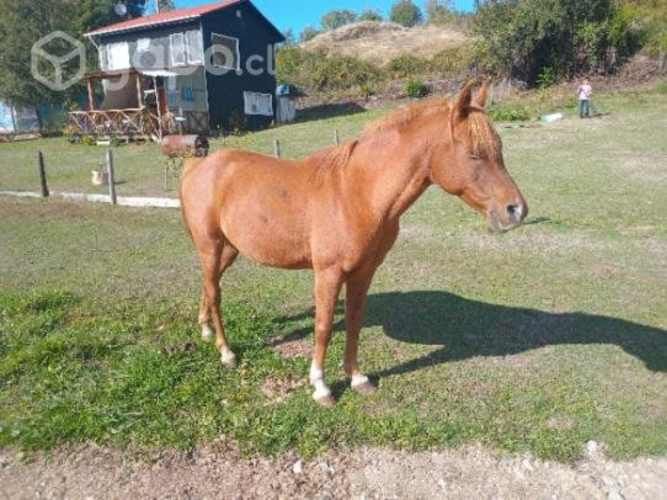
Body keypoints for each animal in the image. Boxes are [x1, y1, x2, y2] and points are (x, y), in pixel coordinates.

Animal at [180, 81, 528, 407]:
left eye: (498, 149)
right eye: (474, 154)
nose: (516, 210)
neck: (357, 193)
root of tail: (198, 165)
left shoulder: (364, 272)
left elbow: (354, 321)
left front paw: (357, 378)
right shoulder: (328, 274)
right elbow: (323, 328)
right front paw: (320, 387)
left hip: (228, 249)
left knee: (208, 286)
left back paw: (205, 329)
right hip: (211, 246)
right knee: (215, 293)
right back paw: (226, 352)